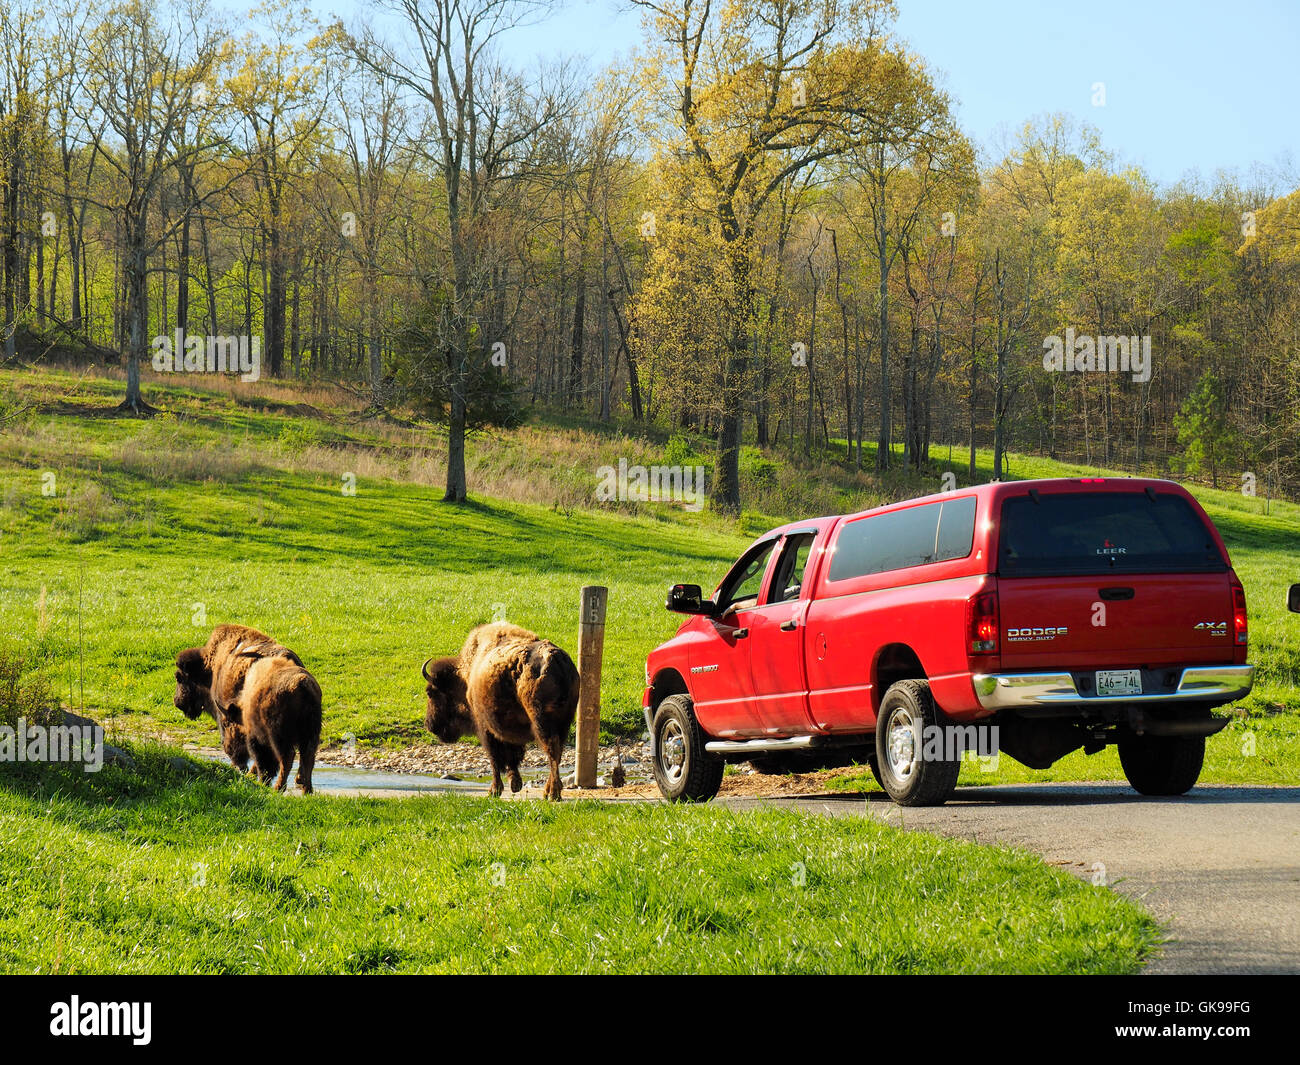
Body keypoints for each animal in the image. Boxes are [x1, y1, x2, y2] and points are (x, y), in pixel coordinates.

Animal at [422, 622, 580, 800]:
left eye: (431, 692)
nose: (430, 725)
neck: (467, 676)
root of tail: (555, 660)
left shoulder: (485, 728)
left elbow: (495, 757)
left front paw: (494, 790)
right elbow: (512, 756)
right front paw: (515, 784)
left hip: (542, 723)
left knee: (552, 751)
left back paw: (552, 794)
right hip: (564, 723)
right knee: (557, 752)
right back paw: (549, 791)